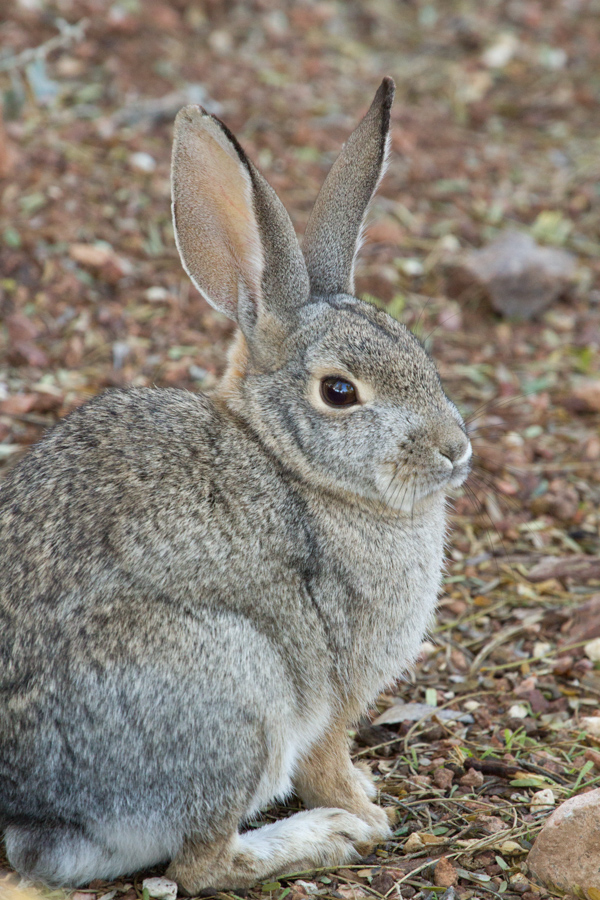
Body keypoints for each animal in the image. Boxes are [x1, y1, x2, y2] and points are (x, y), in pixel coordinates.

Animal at [0, 77, 471, 892]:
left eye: (421, 354)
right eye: (339, 393)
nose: (456, 450)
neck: (294, 464)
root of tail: (38, 822)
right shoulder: (335, 691)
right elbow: (327, 761)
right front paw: (367, 811)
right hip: (238, 693)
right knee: (203, 865)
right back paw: (323, 837)